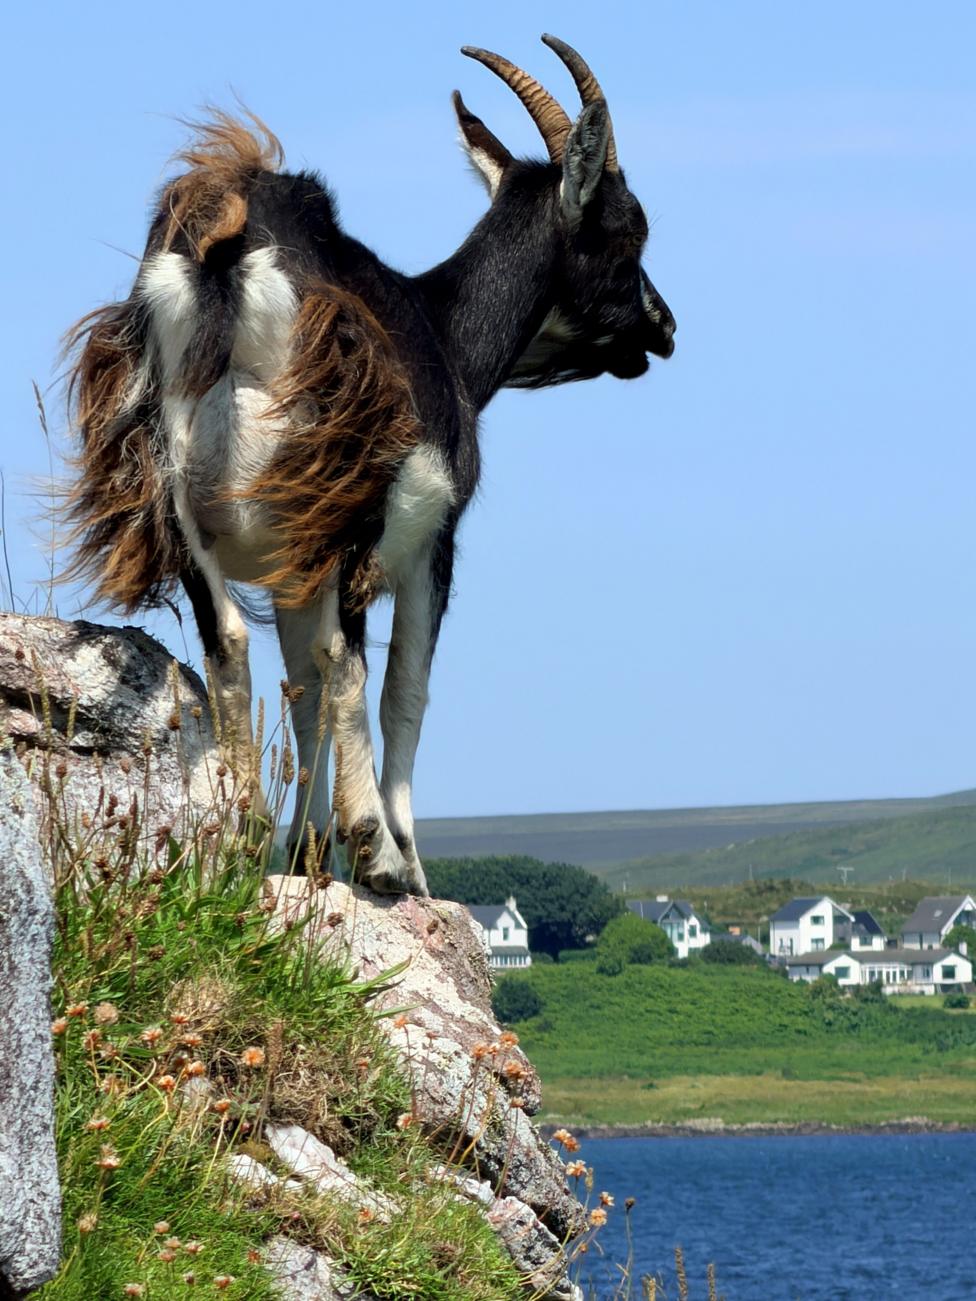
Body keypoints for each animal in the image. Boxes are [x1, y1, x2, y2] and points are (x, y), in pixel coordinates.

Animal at [66, 35, 676, 895]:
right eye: (628, 232)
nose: (664, 325)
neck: (442, 330)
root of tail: (228, 259)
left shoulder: (290, 570)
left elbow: (302, 687)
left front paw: (306, 849)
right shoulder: (430, 541)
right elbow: (401, 687)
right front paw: (397, 855)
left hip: (181, 495)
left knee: (231, 642)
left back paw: (248, 834)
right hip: (342, 505)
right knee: (346, 659)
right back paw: (377, 852)